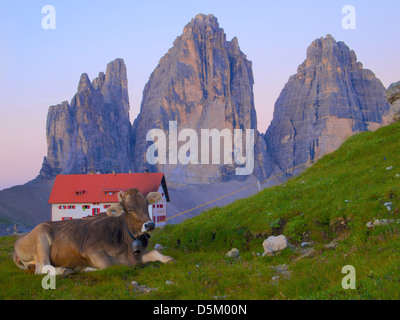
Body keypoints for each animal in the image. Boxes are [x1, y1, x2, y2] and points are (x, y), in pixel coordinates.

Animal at [13, 189, 173, 276]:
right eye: (130, 209)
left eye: (146, 205)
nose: (150, 224)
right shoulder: (90, 250)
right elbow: (110, 266)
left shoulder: (136, 256)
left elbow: (155, 253)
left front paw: (168, 259)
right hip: (41, 237)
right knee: (42, 267)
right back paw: (66, 270)